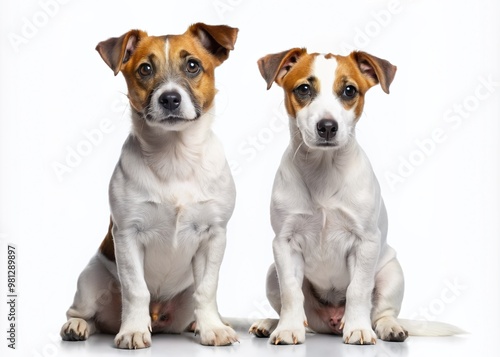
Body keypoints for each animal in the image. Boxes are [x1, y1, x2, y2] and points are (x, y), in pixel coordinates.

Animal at [59, 22, 239, 348]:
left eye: (192, 65)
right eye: (145, 69)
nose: (170, 98)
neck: (174, 156)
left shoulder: (214, 235)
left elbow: (206, 289)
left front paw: (212, 328)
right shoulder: (128, 235)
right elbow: (135, 289)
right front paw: (132, 330)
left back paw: (199, 323)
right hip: (91, 280)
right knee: (83, 314)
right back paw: (76, 327)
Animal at [248, 48, 462, 344]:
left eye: (349, 90)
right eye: (303, 89)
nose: (327, 126)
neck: (324, 171)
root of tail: (329, 324)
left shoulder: (366, 242)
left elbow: (358, 289)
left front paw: (359, 328)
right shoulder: (284, 243)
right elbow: (291, 291)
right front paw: (288, 329)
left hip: (392, 273)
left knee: (382, 312)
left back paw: (388, 328)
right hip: (272, 273)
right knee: (297, 309)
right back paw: (272, 323)